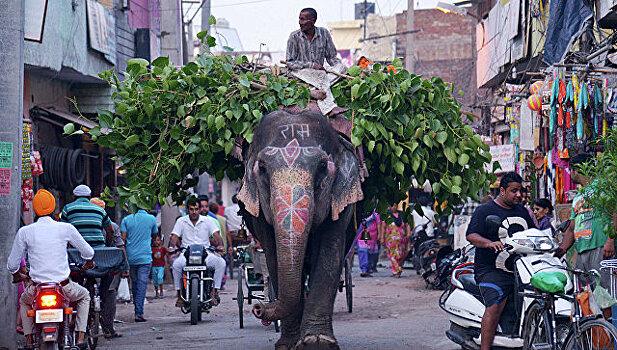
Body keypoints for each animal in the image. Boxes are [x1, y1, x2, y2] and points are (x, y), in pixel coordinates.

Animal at [235, 110, 360, 348]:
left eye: (322, 166)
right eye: (262, 168)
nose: (258, 308)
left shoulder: (341, 203)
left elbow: (330, 253)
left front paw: (317, 342)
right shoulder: (260, 214)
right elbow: (272, 257)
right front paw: (288, 345)